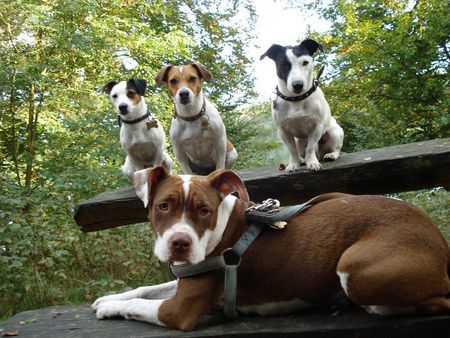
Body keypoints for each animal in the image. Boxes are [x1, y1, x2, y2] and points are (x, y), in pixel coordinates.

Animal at [91, 168, 450, 332]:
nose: (180, 242)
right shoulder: (184, 277)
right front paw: (108, 298)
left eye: (204, 210)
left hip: (355, 266)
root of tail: (438, 240)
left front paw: (111, 309)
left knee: (433, 301)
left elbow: (141, 304)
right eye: (163, 206)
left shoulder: (179, 310)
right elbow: (147, 289)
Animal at [260, 39, 344, 172]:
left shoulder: (317, 127)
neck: (296, 100)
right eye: (283, 64)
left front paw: (312, 163)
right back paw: (302, 160)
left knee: (336, 148)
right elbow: (292, 150)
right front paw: (294, 164)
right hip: (299, 141)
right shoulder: (284, 131)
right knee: (300, 152)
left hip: (334, 133)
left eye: (305, 62)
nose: (298, 85)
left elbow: (310, 148)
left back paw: (331, 155)